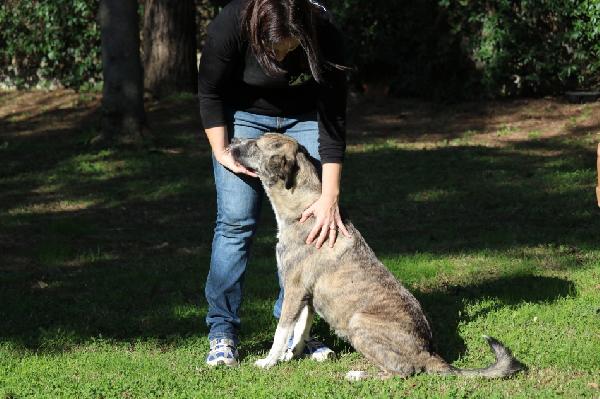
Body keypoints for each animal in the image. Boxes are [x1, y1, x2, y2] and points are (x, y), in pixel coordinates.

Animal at [227, 134, 524, 382]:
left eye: (255, 144)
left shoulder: (294, 289)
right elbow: (301, 330)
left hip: (359, 324)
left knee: (404, 372)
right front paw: (293, 355)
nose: (231, 142)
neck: (304, 208)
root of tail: (430, 354)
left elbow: (282, 330)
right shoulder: (307, 296)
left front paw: (269, 361)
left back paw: (358, 375)